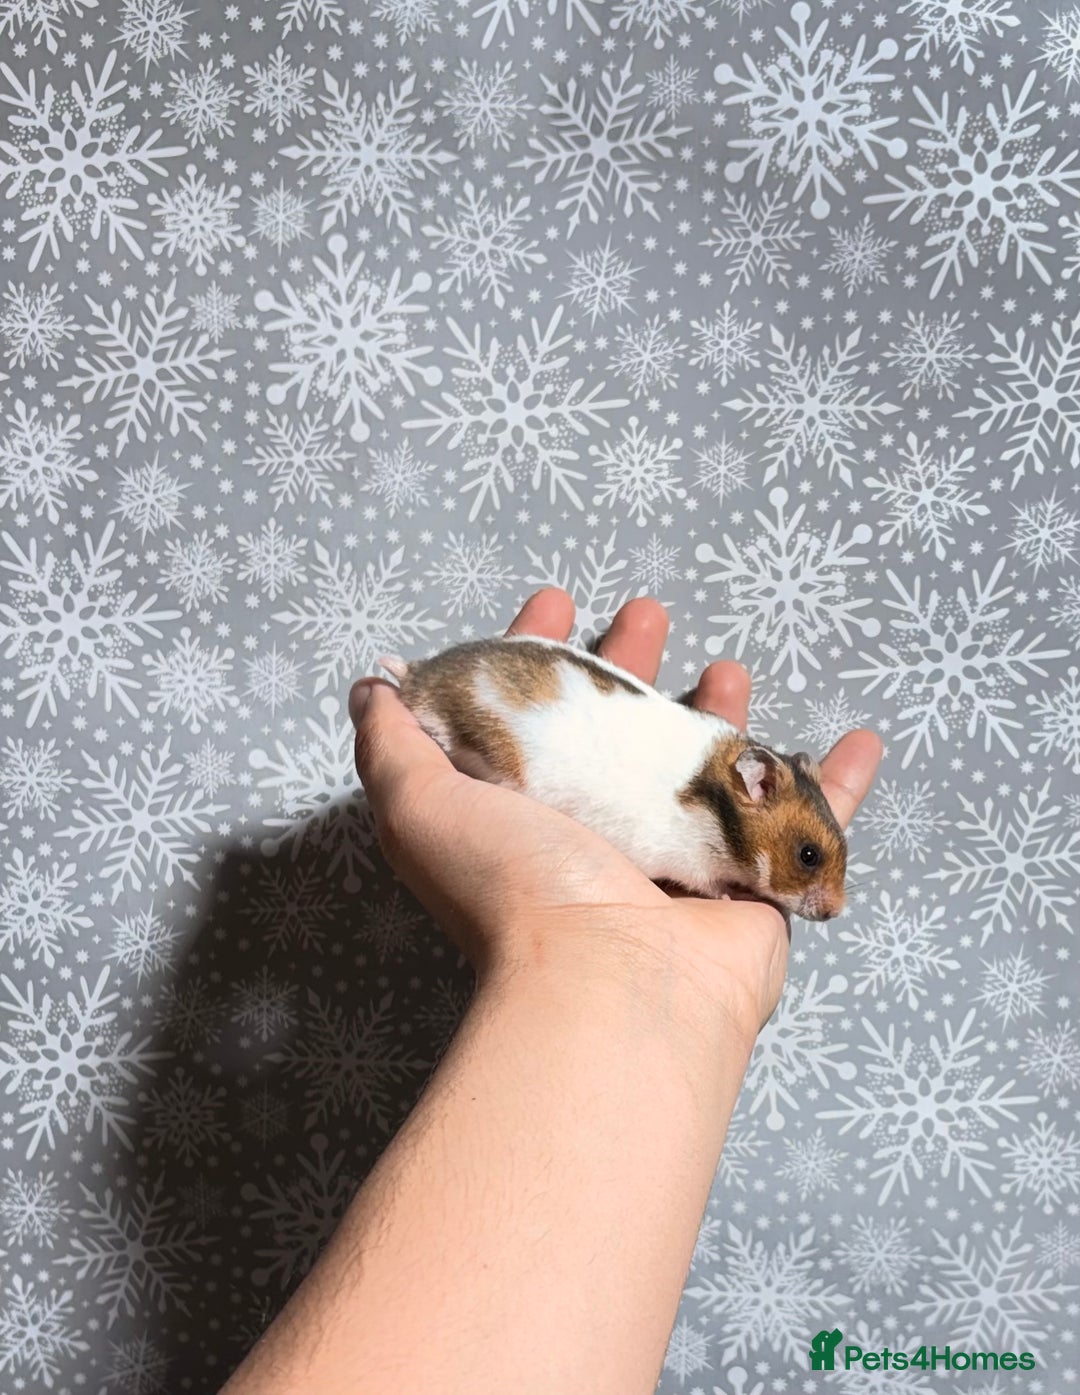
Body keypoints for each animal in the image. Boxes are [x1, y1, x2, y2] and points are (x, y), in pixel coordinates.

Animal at [376, 635, 847, 921]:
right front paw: (737, 896)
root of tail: (420, 677)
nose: (835, 913)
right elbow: (713, 887)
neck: (719, 813)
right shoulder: (693, 867)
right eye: (808, 855)